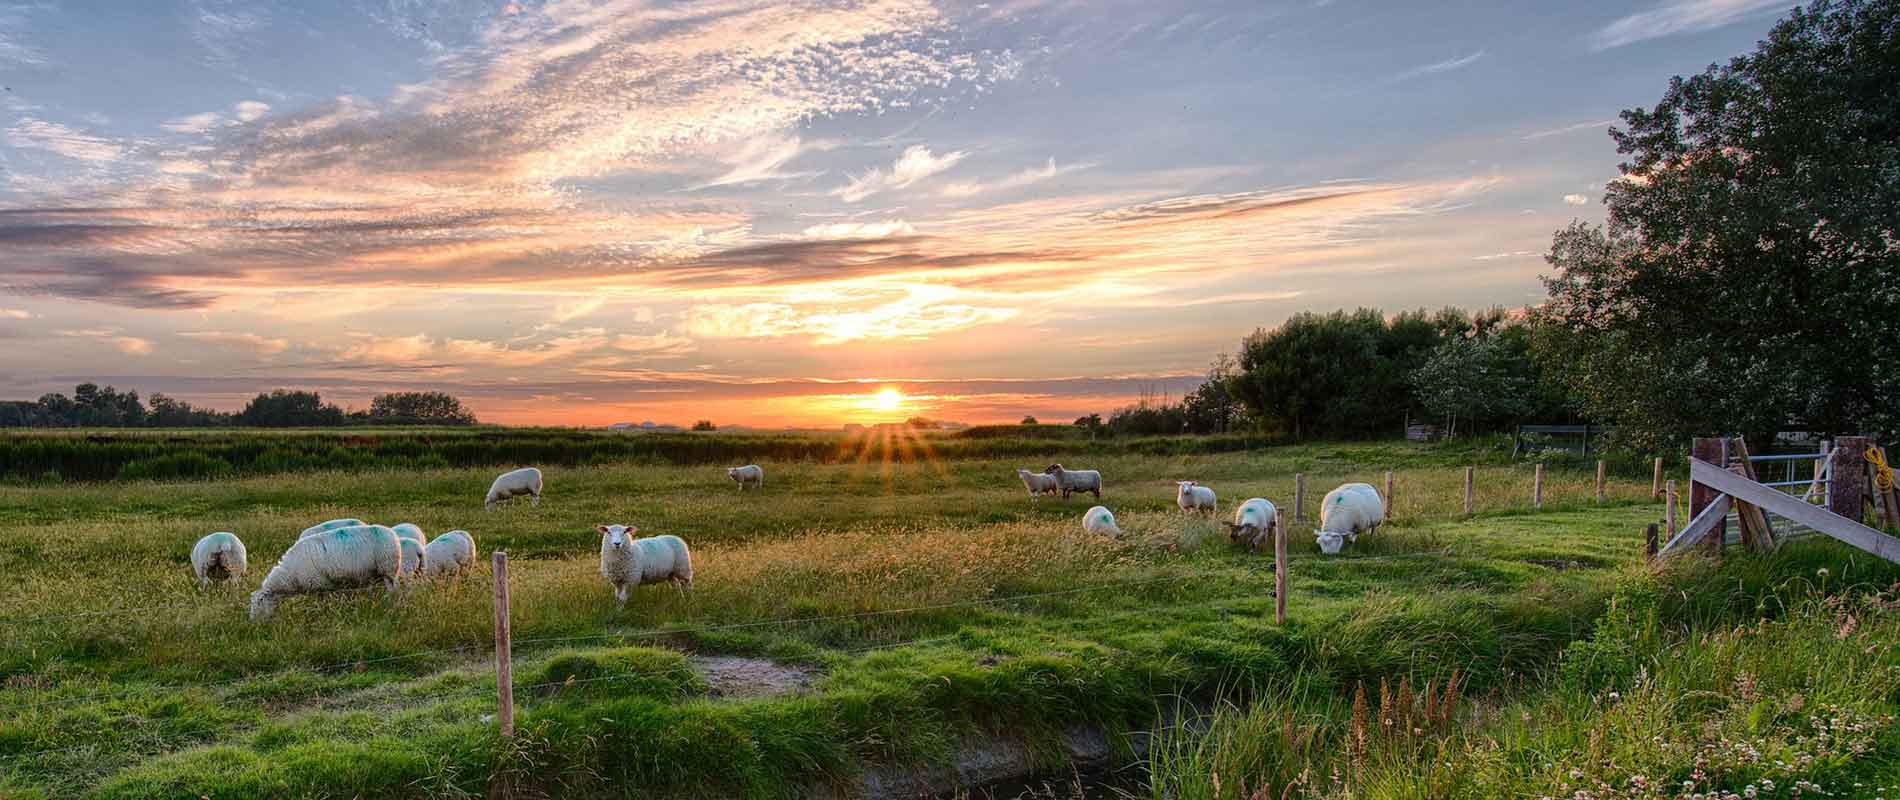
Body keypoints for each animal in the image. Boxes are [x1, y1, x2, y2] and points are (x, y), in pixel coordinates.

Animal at [250, 520, 402, 619]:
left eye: (259, 603)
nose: (253, 623)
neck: (290, 575)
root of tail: (392, 533)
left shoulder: (319, 585)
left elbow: (322, 604)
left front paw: (321, 614)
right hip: (378, 573)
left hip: (388, 570)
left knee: (393, 590)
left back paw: (390, 605)